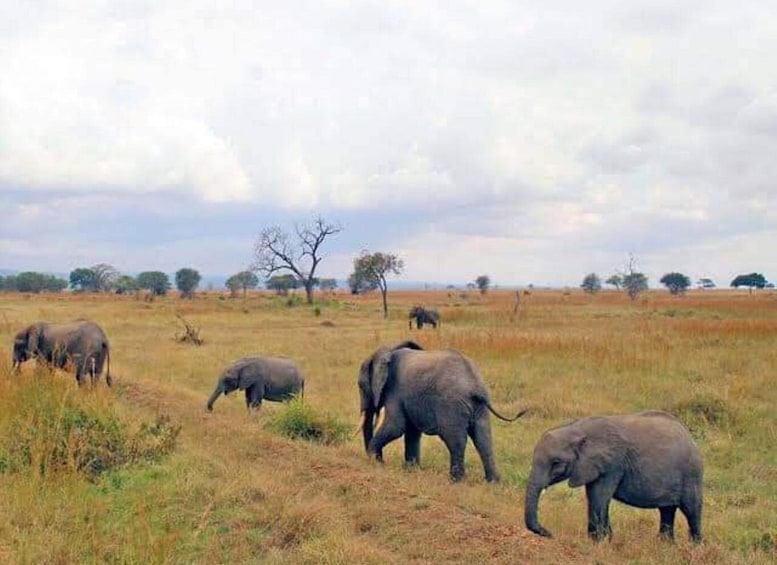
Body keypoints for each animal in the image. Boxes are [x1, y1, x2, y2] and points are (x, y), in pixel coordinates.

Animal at [358, 340, 528, 480]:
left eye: (360, 386)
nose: (381, 460)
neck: (388, 350)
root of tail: (475, 385)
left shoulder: (395, 391)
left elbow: (396, 427)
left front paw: (373, 459)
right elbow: (412, 431)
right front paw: (411, 470)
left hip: (451, 405)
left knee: (455, 439)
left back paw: (457, 480)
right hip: (478, 408)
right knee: (483, 437)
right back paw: (492, 482)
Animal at [520, 410, 704, 540]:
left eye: (556, 462)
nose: (550, 533)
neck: (576, 429)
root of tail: (689, 435)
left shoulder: (612, 464)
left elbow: (599, 497)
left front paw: (601, 541)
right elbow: (594, 497)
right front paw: (602, 540)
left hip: (691, 473)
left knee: (691, 510)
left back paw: (695, 546)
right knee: (667, 510)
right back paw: (665, 544)